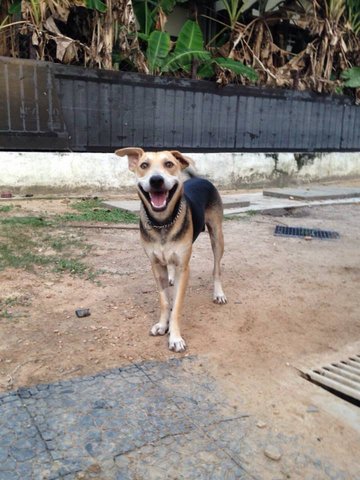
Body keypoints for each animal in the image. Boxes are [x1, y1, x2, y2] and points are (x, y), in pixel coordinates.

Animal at [115, 149, 228, 352]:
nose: (156, 180)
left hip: (217, 236)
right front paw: (162, 324)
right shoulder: (156, 265)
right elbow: (165, 301)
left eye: (169, 164)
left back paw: (219, 293)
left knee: (216, 268)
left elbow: (176, 305)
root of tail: (200, 179)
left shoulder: (184, 267)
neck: (162, 222)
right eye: (144, 165)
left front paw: (175, 337)